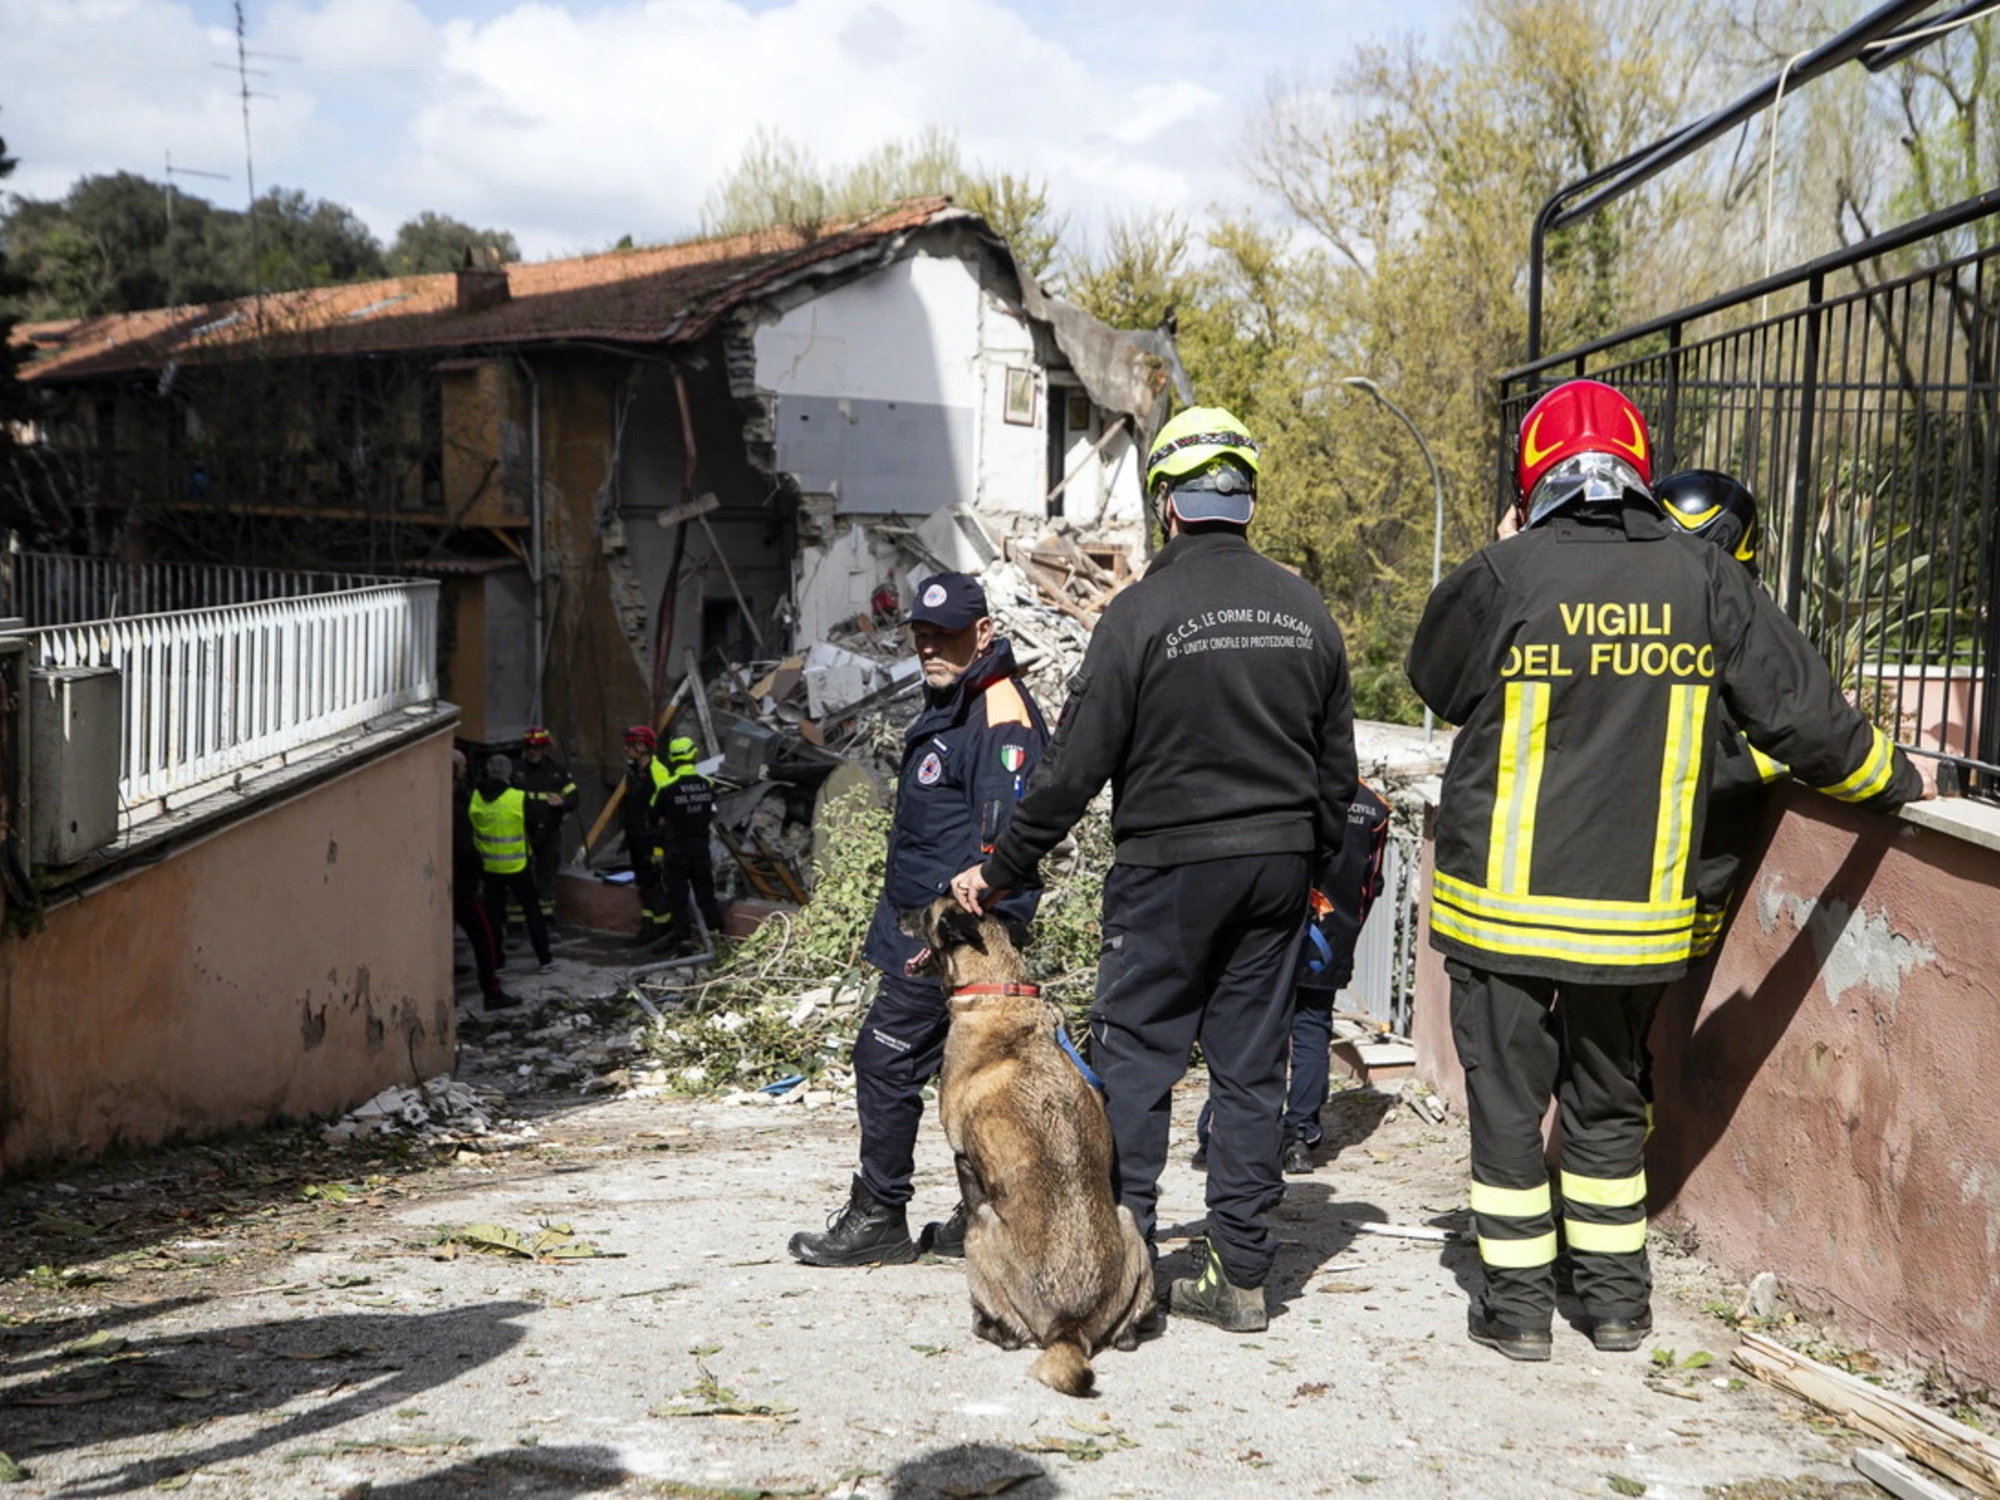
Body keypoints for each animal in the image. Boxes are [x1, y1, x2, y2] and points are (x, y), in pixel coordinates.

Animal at [900, 900, 1152, 1408]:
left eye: (924, 910)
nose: (896, 914)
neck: (999, 990)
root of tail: (1068, 1328)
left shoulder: (964, 1163)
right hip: (1127, 1218)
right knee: (1127, 1334)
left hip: (982, 1229)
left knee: (1009, 1332)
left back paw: (986, 1325)